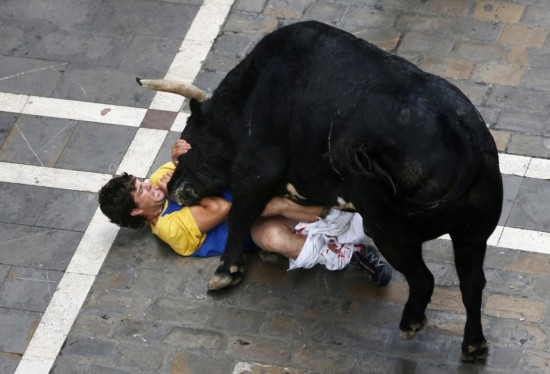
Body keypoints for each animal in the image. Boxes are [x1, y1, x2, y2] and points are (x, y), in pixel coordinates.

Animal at [138, 21, 504, 360]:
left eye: (189, 139)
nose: (172, 188)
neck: (251, 93)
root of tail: (463, 131)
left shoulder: (255, 172)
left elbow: (239, 217)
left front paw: (225, 272)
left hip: (392, 232)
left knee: (423, 278)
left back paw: (411, 323)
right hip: (471, 234)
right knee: (473, 283)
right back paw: (474, 346)